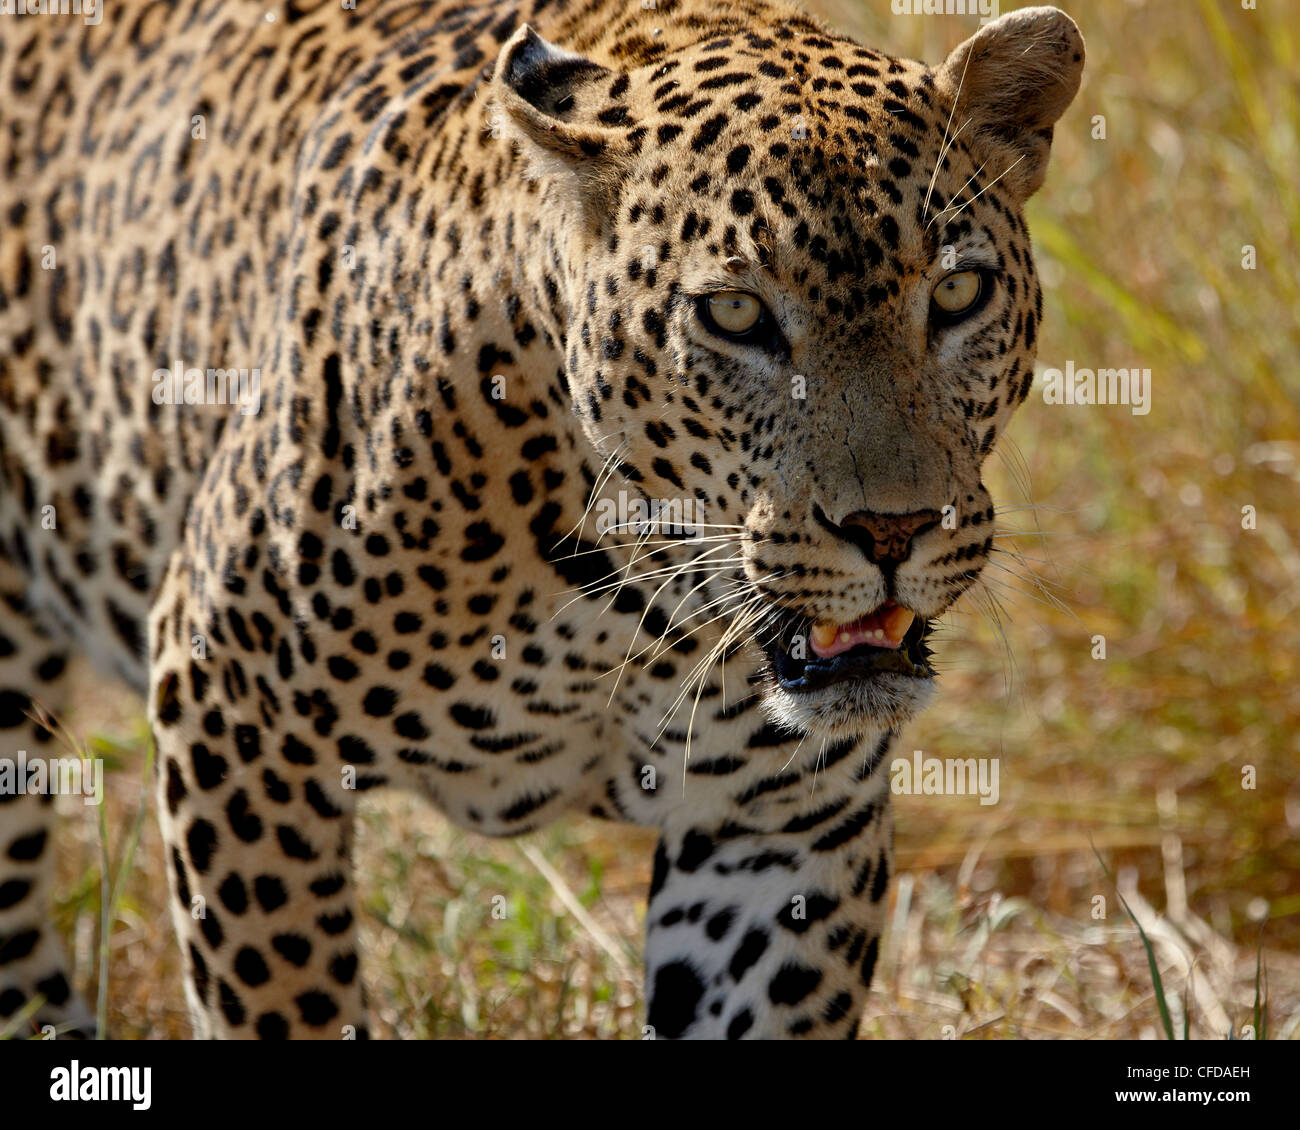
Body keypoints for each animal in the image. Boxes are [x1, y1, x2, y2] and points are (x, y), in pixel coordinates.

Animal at [0, 0, 1081, 1040]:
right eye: (733, 316)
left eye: (958, 292)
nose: (895, 529)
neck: (634, 592)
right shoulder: (234, 705)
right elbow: (285, 1001)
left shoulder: (781, 822)